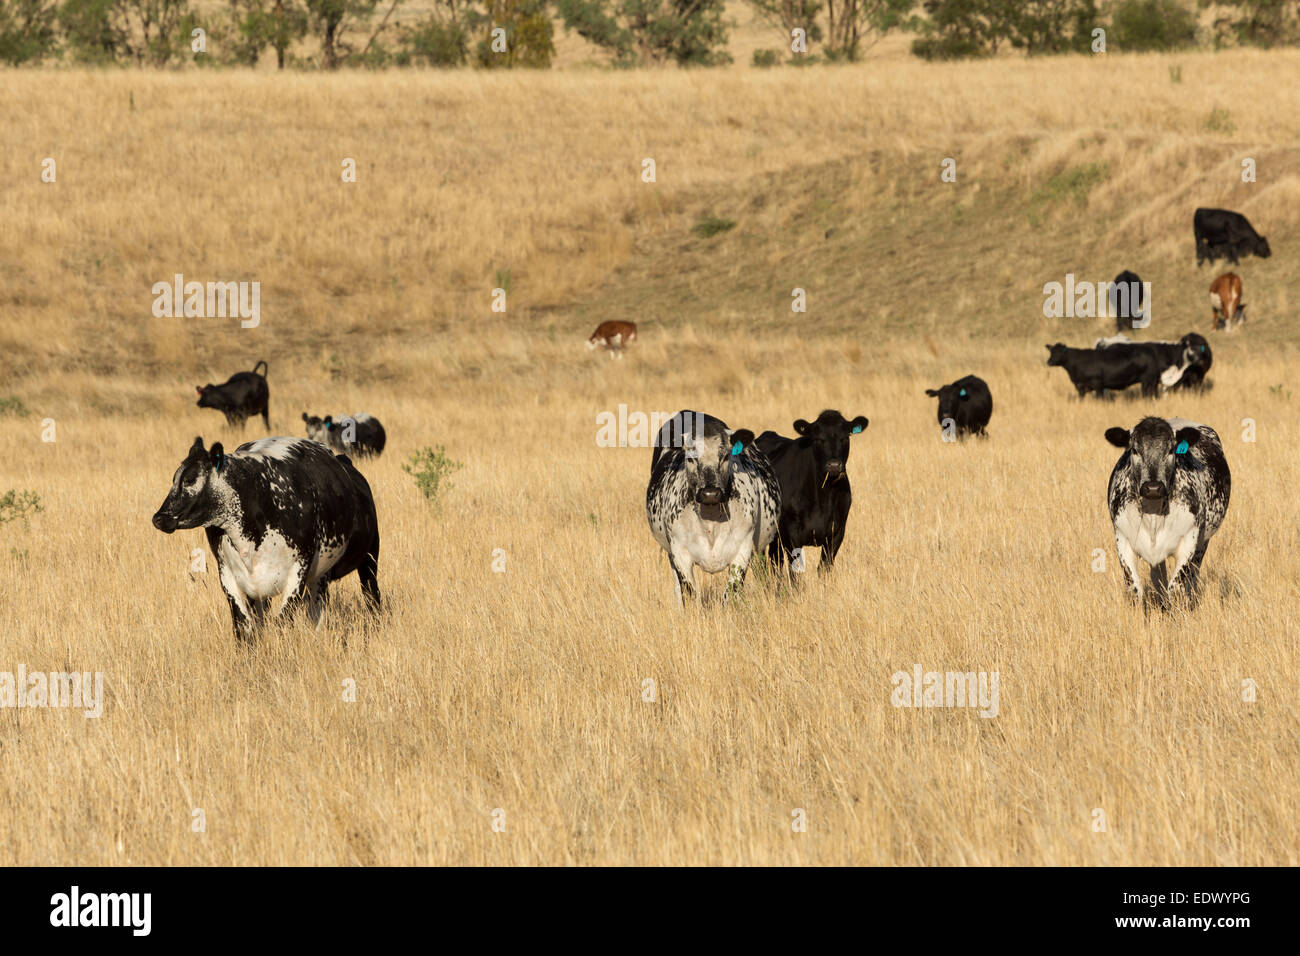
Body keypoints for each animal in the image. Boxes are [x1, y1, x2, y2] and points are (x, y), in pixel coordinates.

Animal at [150, 437, 379, 639]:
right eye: (174, 478)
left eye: (190, 479)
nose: (159, 518)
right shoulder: (228, 574)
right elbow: (243, 627)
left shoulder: (298, 569)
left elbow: (282, 622)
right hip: (317, 578)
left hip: (369, 558)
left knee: (372, 597)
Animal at [644, 408, 774, 606]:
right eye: (691, 458)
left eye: (726, 456)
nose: (710, 493)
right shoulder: (679, 554)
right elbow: (689, 594)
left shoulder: (742, 551)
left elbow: (731, 595)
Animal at [759, 408, 868, 580]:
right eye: (818, 439)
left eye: (845, 438)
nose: (834, 465)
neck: (823, 498)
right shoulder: (792, 534)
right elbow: (796, 571)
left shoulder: (837, 533)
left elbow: (824, 568)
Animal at [1107, 416, 1227, 608]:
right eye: (1134, 450)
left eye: (1171, 450)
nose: (1153, 488)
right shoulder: (1122, 538)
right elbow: (1135, 589)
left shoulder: (1189, 539)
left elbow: (1176, 588)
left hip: (1203, 543)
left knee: (1192, 577)